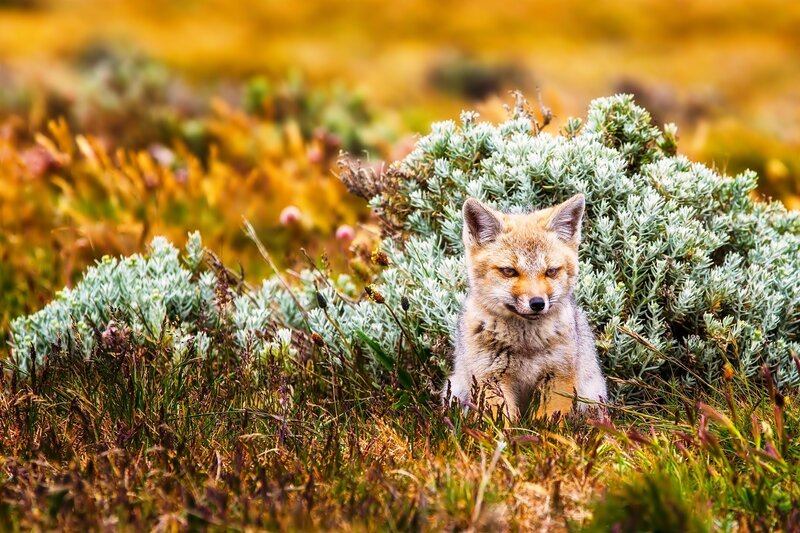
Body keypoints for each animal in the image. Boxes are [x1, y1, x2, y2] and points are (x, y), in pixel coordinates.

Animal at [444, 193, 607, 422]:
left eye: (551, 271)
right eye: (509, 271)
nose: (537, 303)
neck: (526, 346)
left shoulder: (558, 377)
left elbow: (550, 423)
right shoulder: (491, 378)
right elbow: (501, 424)